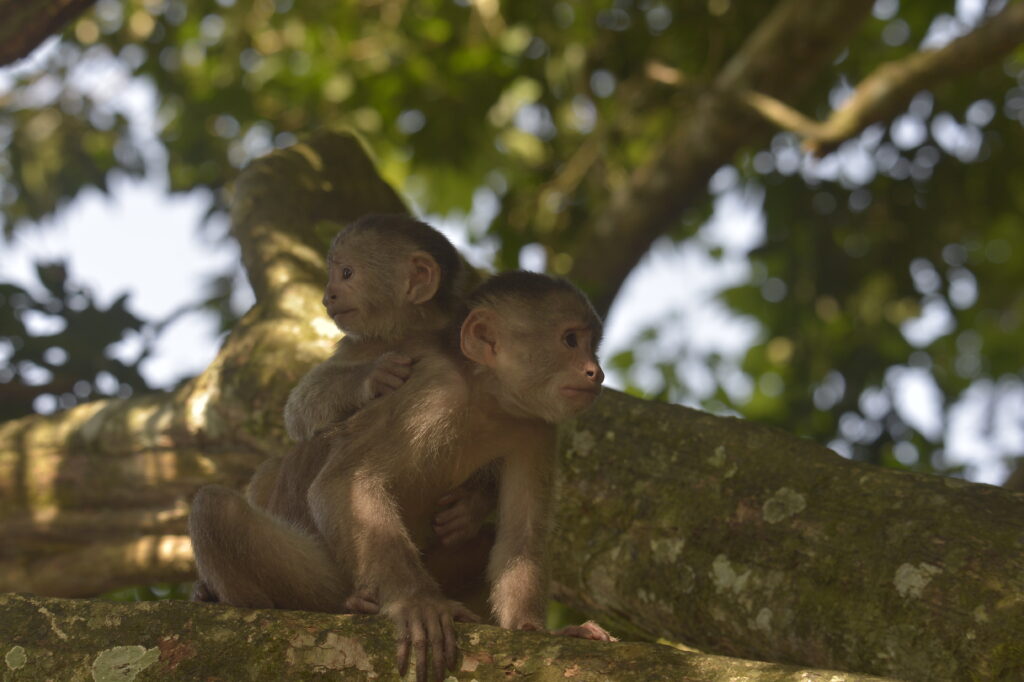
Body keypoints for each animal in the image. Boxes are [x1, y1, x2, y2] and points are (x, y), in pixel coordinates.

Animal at [188, 271, 609, 681]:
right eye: (570, 341)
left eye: (592, 345)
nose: (596, 372)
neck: (485, 397)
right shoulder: (432, 391)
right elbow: (345, 482)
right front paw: (417, 603)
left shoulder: (536, 427)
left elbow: (521, 535)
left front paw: (537, 630)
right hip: (333, 574)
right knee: (216, 508)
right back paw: (345, 605)